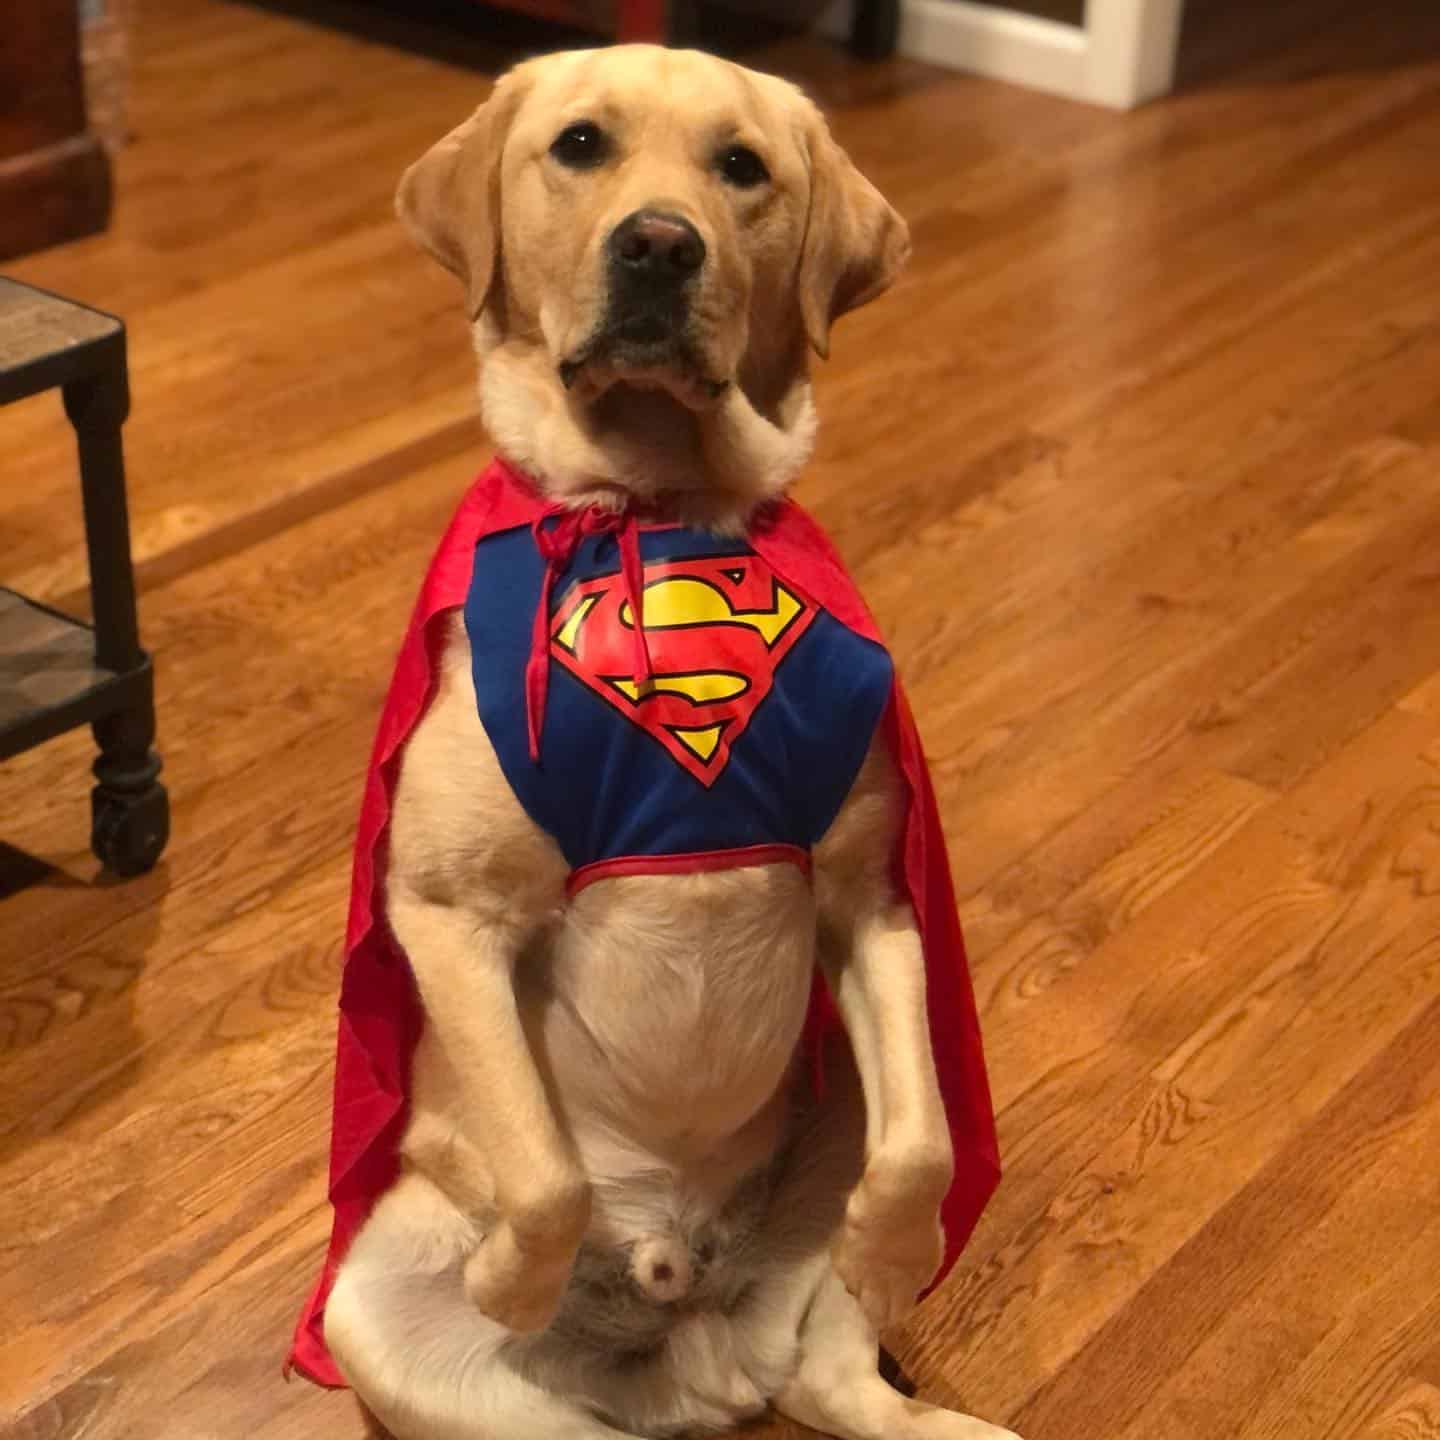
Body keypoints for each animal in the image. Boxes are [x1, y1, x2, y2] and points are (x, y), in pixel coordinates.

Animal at [299, 42, 1019, 1440]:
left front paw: (897, 1249)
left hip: (829, 1108)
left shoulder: (872, 897)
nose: (659, 245)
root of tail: (693, 1346)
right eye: (580, 146)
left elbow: (926, 1145)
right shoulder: (445, 910)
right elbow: (543, 1172)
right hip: (374, 1313)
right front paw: (512, 1279)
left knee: (838, 1370)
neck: (655, 498)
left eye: (742, 167)